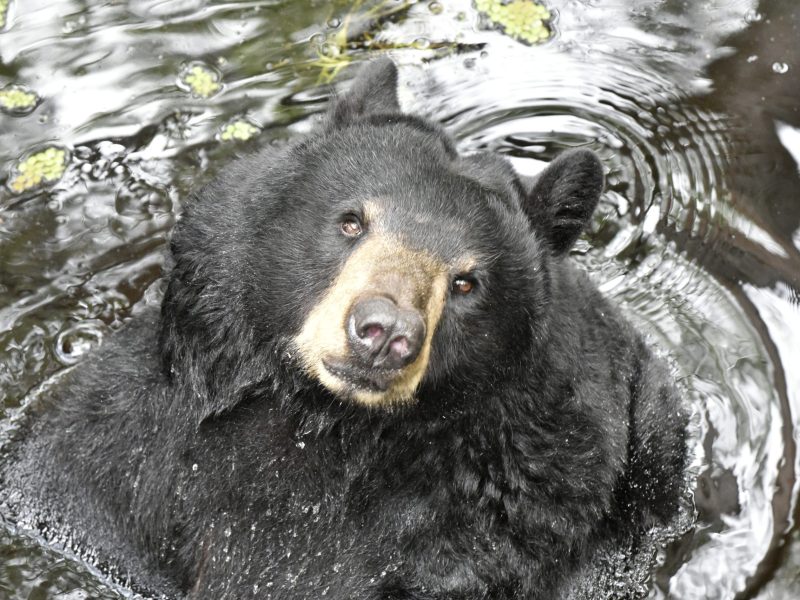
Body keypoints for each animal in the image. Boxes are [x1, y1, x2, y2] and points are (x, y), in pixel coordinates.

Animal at [1, 58, 688, 599]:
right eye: (352, 221)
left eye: (467, 282)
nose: (383, 332)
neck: (320, 424)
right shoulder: (112, 465)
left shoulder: (487, 533)